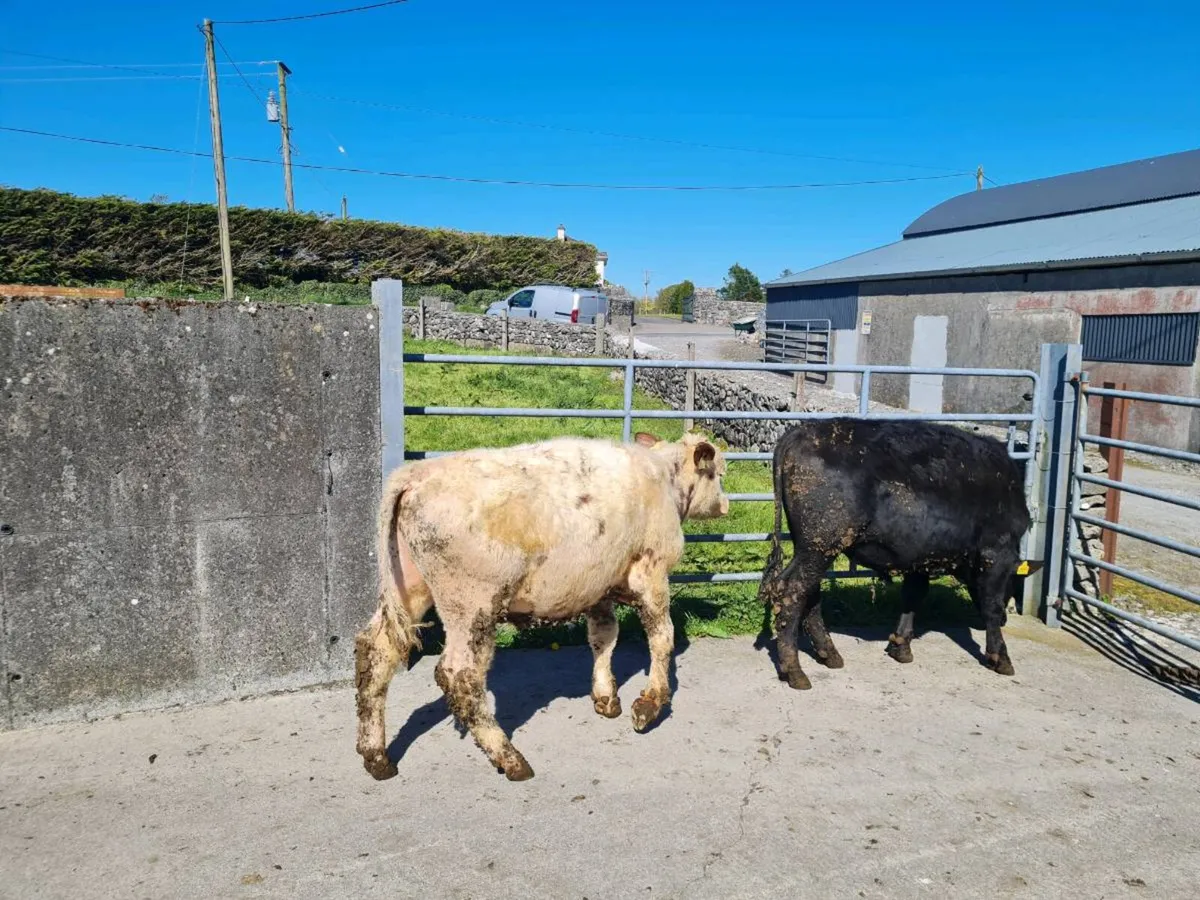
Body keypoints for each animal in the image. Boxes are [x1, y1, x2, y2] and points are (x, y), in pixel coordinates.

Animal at [355, 431, 729, 782]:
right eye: (718, 473)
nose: (726, 505)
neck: (663, 477)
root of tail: (416, 473)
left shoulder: (598, 585)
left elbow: (604, 637)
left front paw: (606, 697)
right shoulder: (651, 573)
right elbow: (662, 638)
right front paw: (649, 705)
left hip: (411, 586)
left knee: (377, 650)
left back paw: (376, 757)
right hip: (471, 605)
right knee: (460, 675)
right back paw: (510, 758)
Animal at [757, 418, 1030, 690]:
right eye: (1014, 581)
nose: (1007, 619)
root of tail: (801, 431)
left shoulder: (921, 557)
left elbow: (913, 596)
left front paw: (901, 647)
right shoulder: (997, 554)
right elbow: (991, 605)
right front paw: (1002, 659)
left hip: (813, 548)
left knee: (810, 594)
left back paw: (830, 655)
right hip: (821, 543)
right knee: (791, 591)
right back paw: (795, 671)